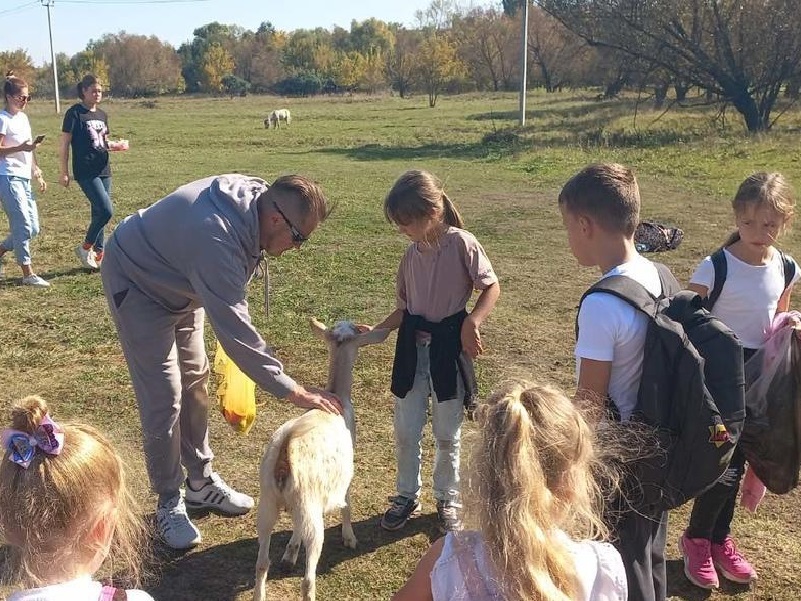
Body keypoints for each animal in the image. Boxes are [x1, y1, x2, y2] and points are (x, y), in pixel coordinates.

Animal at [252, 318, 386, 600]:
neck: (337, 397)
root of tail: (286, 449)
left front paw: (290, 552)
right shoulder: (344, 475)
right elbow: (347, 502)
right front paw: (349, 537)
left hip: (268, 501)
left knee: (261, 563)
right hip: (311, 506)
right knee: (307, 578)